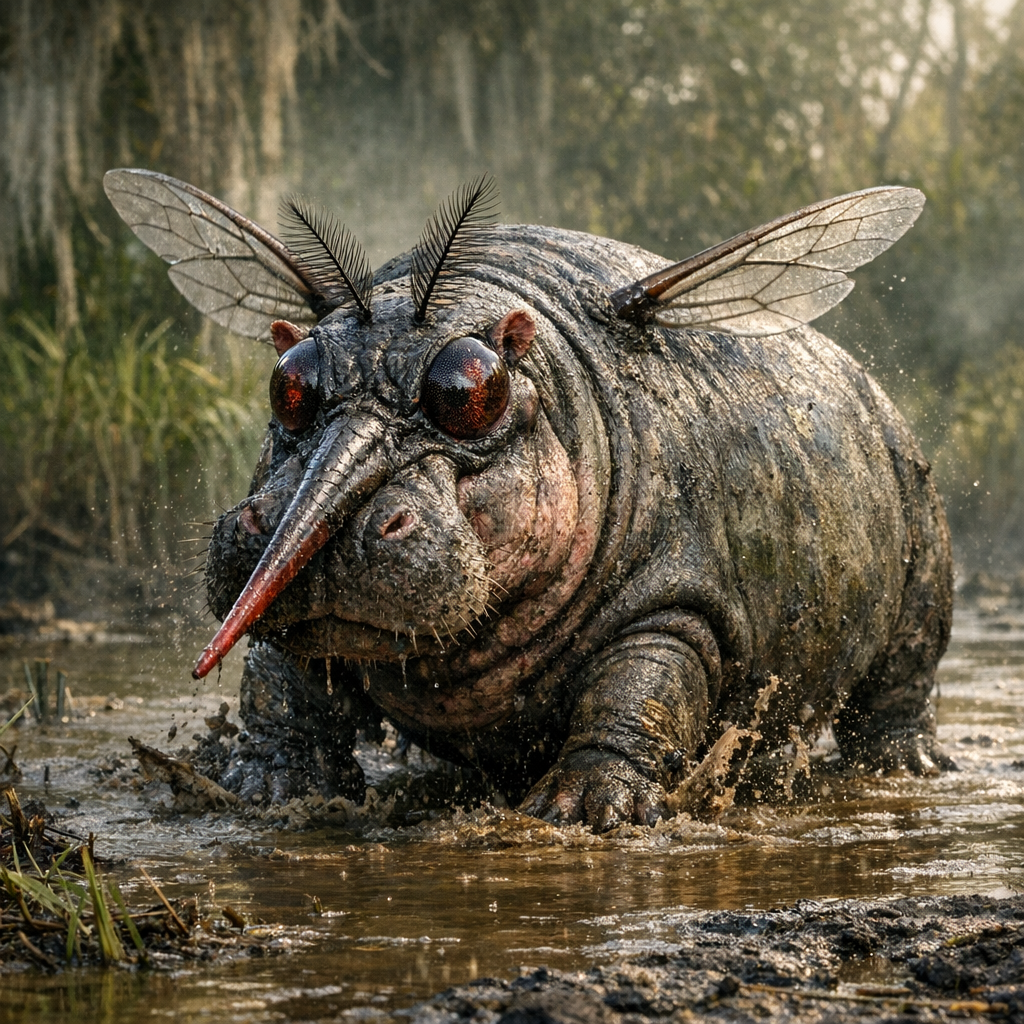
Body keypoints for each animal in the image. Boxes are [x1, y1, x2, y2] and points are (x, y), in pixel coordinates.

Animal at [105, 170, 953, 828]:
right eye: (288, 381)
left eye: (472, 392)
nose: (313, 524)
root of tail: (869, 382)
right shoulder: (281, 589)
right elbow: (281, 678)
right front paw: (263, 785)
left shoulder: (676, 600)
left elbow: (644, 686)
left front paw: (587, 809)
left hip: (923, 563)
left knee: (900, 684)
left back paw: (910, 768)